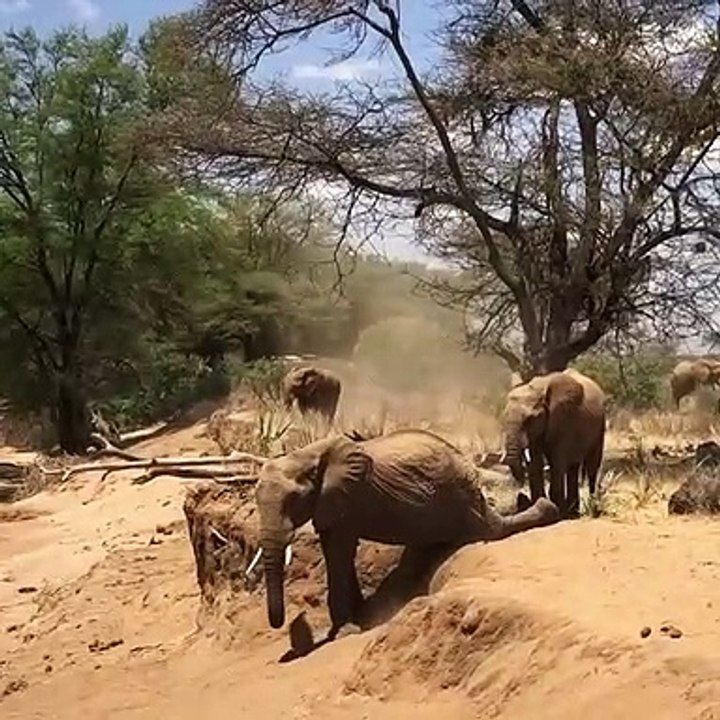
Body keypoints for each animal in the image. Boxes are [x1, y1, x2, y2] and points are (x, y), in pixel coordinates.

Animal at [254, 429, 560, 635]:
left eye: (292, 500)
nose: (278, 623)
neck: (307, 455)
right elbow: (337, 550)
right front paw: (358, 614)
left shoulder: (347, 496)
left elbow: (338, 551)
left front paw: (345, 630)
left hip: (458, 498)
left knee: (488, 530)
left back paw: (547, 508)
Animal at [501, 368, 606, 519]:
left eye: (530, 419)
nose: (520, 489)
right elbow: (536, 462)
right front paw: (543, 504)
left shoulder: (563, 417)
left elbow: (557, 461)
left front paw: (557, 511)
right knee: (573, 468)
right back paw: (573, 512)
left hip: (600, 426)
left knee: (592, 467)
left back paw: (591, 509)